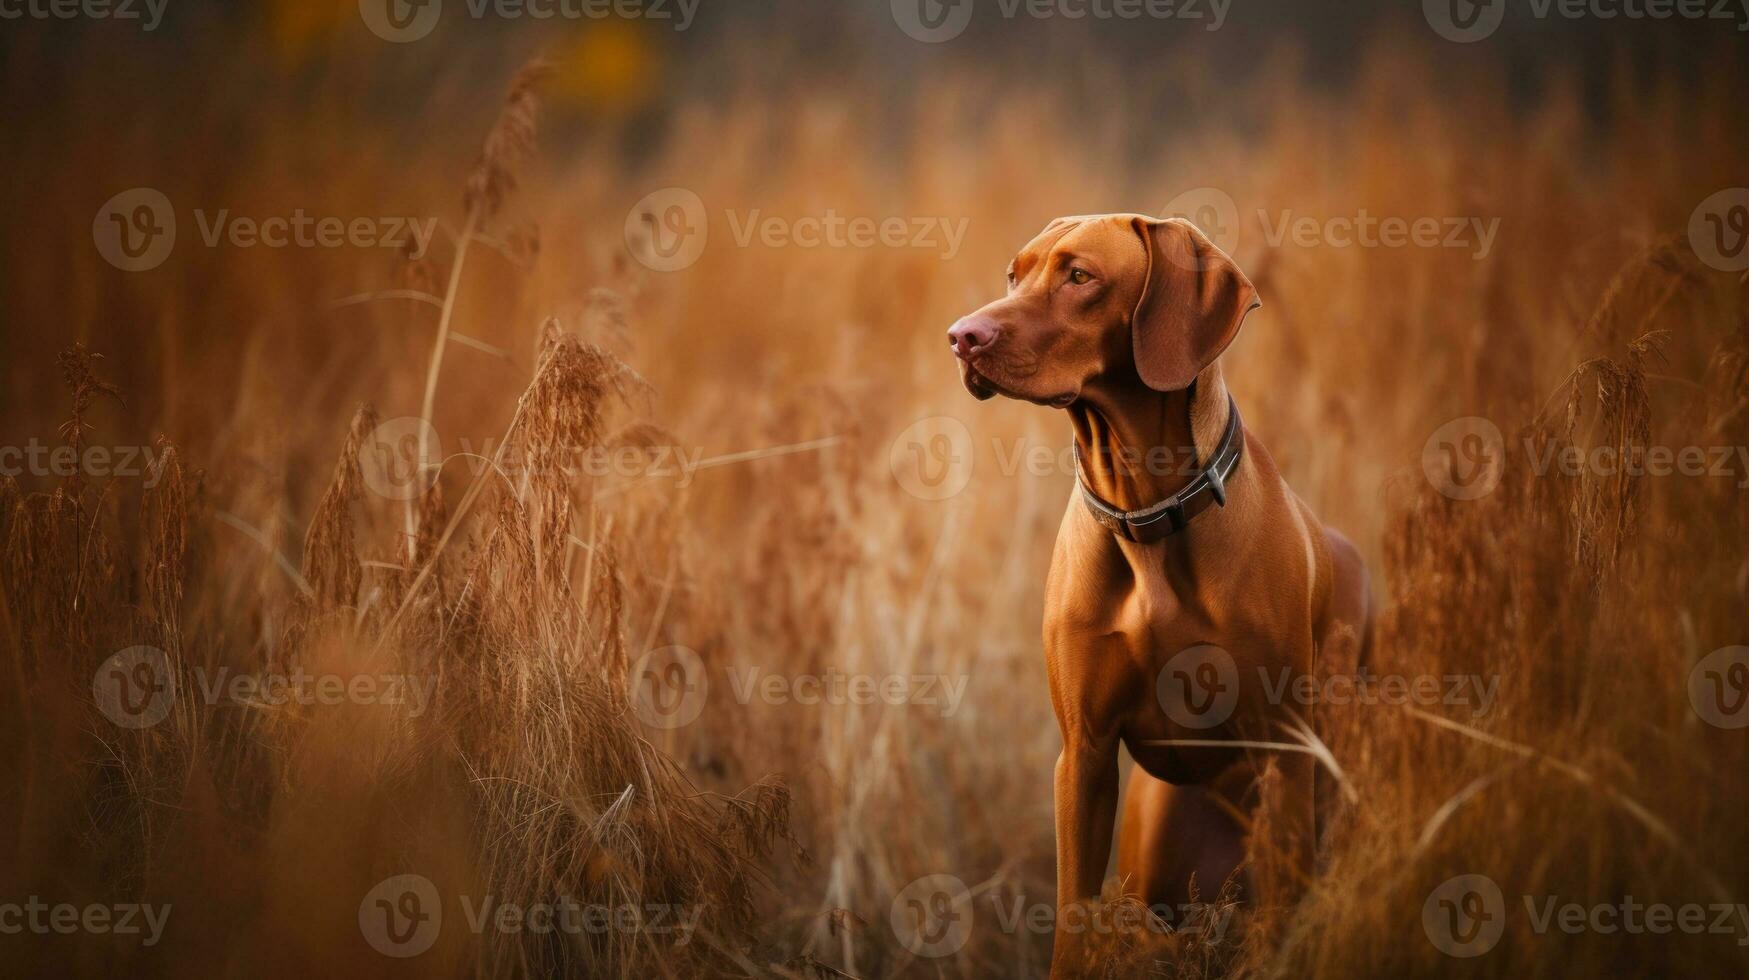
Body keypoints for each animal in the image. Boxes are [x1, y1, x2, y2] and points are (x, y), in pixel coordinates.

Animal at [951, 212, 1371, 973]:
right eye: (1013, 274)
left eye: (1078, 276)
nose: (961, 336)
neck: (1145, 508)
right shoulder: (1084, 755)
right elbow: (1071, 919)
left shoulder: (1281, 753)